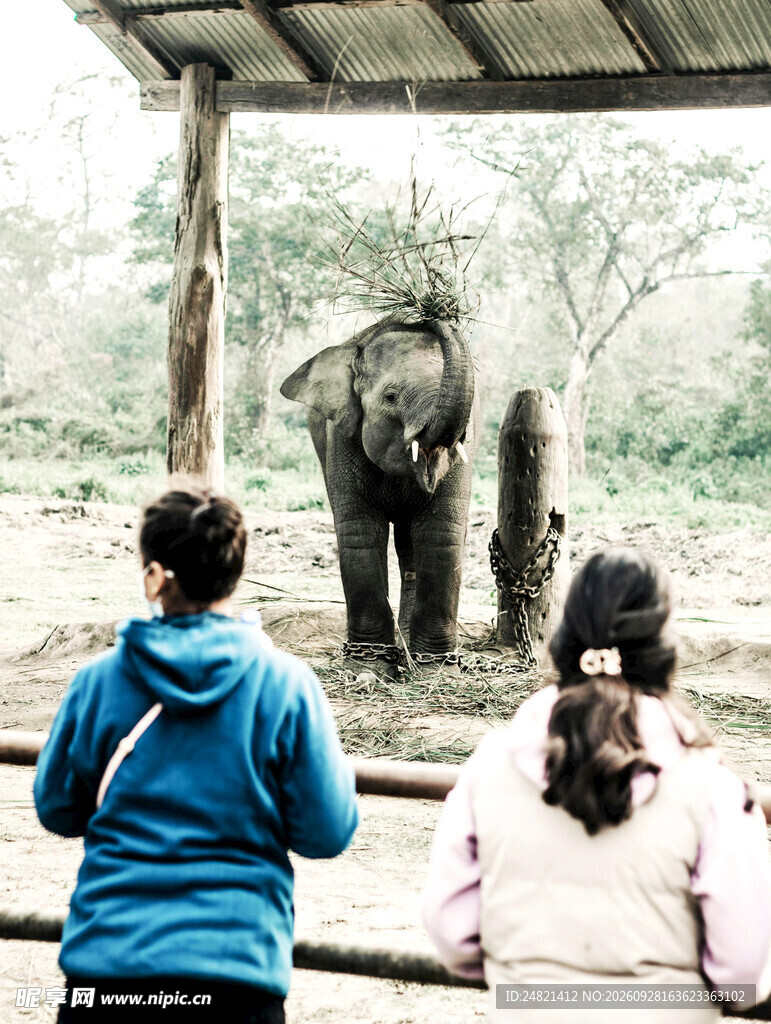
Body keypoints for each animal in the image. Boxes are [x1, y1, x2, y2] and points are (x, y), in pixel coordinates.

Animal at [280, 317, 479, 662]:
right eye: (391, 397)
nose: (432, 314)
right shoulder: (341, 438)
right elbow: (360, 531)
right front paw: (369, 665)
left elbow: (440, 532)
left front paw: (437, 668)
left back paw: (410, 650)